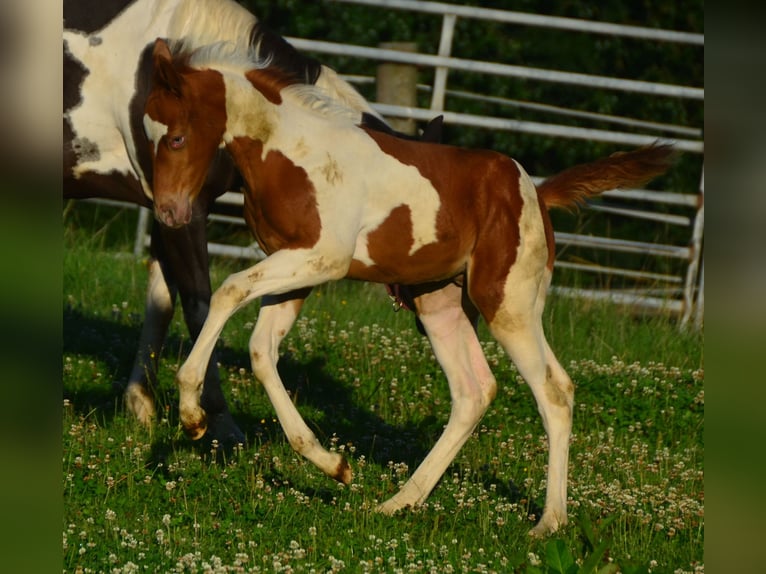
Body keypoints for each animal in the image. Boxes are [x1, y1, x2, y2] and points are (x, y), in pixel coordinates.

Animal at [61, 0, 382, 446]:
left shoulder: (168, 211)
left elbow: (161, 302)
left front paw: (140, 403)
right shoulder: (184, 213)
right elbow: (199, 306)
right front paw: (217, 420)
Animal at [146, 40, 680, 540]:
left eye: (176, 137)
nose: (169, 213)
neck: (292, 153)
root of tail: (536, 194)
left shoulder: (323, 259)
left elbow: (228, 291)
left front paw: (191, 412)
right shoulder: (298, 268)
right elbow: (261, 351)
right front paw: (332, 464)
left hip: (507, 304)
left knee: (553, 391)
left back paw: (549, 521)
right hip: (439, 304)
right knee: (475, 392)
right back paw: (400, 501)